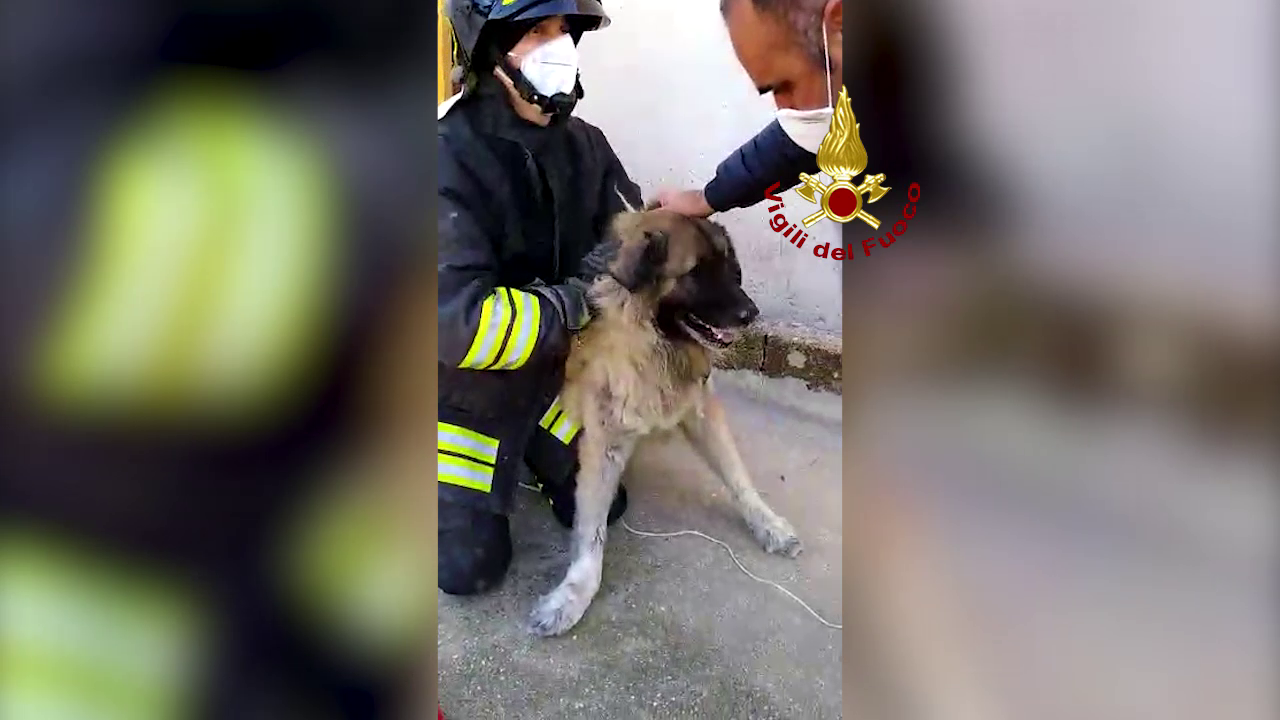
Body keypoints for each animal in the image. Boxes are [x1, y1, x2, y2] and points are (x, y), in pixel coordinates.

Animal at [524, 206, 793, 632]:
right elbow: (592, 531)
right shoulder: (604, 442)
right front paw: (575, 593)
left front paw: (767, 523)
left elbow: (737, 476)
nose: (751, 315)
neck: (653, 343)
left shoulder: (700, 408)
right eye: (695, 272)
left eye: (728, 266)